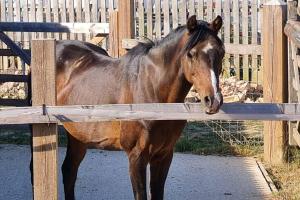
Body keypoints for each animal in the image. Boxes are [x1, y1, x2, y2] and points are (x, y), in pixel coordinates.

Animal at [54, 16, 224, 200]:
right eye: (191, 54)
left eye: (221, 52)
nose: (213, 100)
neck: (151, 92)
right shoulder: (137, 156)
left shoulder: (164, 155)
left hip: (78, 136)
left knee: (69, 170)